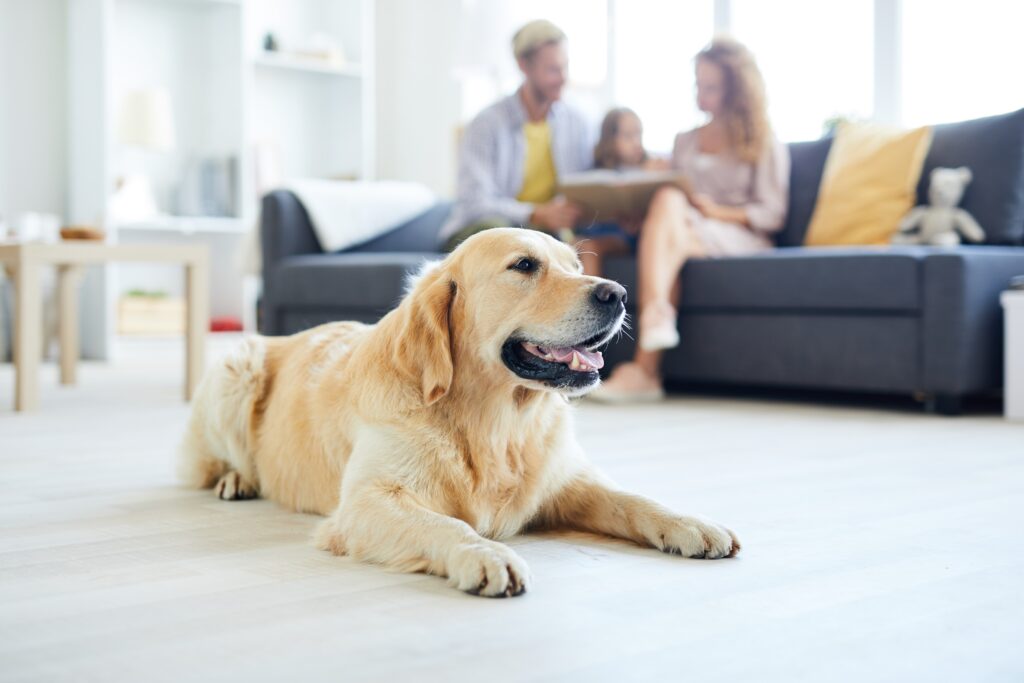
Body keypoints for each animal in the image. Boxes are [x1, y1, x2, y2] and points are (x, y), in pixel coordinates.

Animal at [180, 227, 741, 593]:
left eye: (576, 266)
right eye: (524, 265)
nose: (618, 293)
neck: (496, 423)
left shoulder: (567, 482)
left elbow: (634, 500)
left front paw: (691, 523)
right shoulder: (366, 502)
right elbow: (446, 525)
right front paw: (485, 554)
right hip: (238, 367)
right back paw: (236, 479)